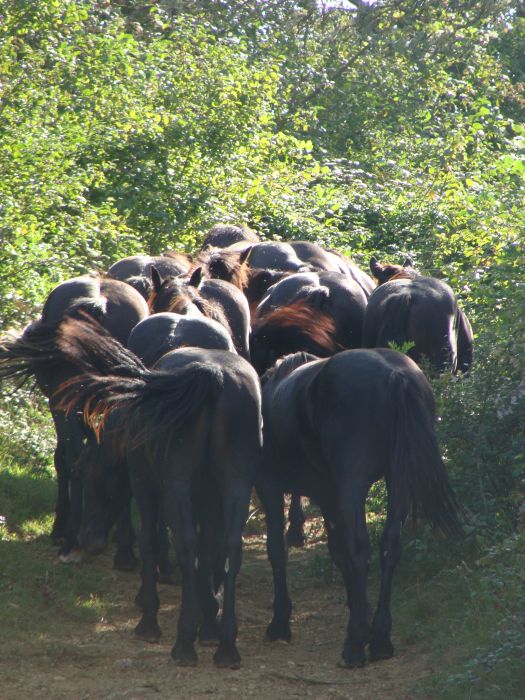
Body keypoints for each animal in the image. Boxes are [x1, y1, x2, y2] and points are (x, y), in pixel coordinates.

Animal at [0, 276, 148, 560]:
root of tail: (98, 301)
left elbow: (63, 459)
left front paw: (61, 526)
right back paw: (122, 548)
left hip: (63, 404)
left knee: (74, 458)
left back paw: (71, 537)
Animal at [57, 318, 262, 668]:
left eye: (88, 474)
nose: (87, 539)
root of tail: (213, 376)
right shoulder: (209, 497)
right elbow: (209, 551)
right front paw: (209, 621)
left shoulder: (146, 486)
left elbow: (152, 541)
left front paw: (150, 616)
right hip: (237, 483)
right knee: (230, 547)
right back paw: (226, 646)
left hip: (177, 483)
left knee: (186, 544)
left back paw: (183, 641)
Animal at [258, 350, 462, 668]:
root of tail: (395, 374)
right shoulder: (328, 496)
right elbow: (338, 552)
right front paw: (361, 610)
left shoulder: (270, 484)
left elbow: (279, 551)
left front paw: (280, 623)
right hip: (396, 478)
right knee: (390, 547)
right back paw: (379, 639)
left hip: (353, 483)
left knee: (359, 549)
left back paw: (354, 644)